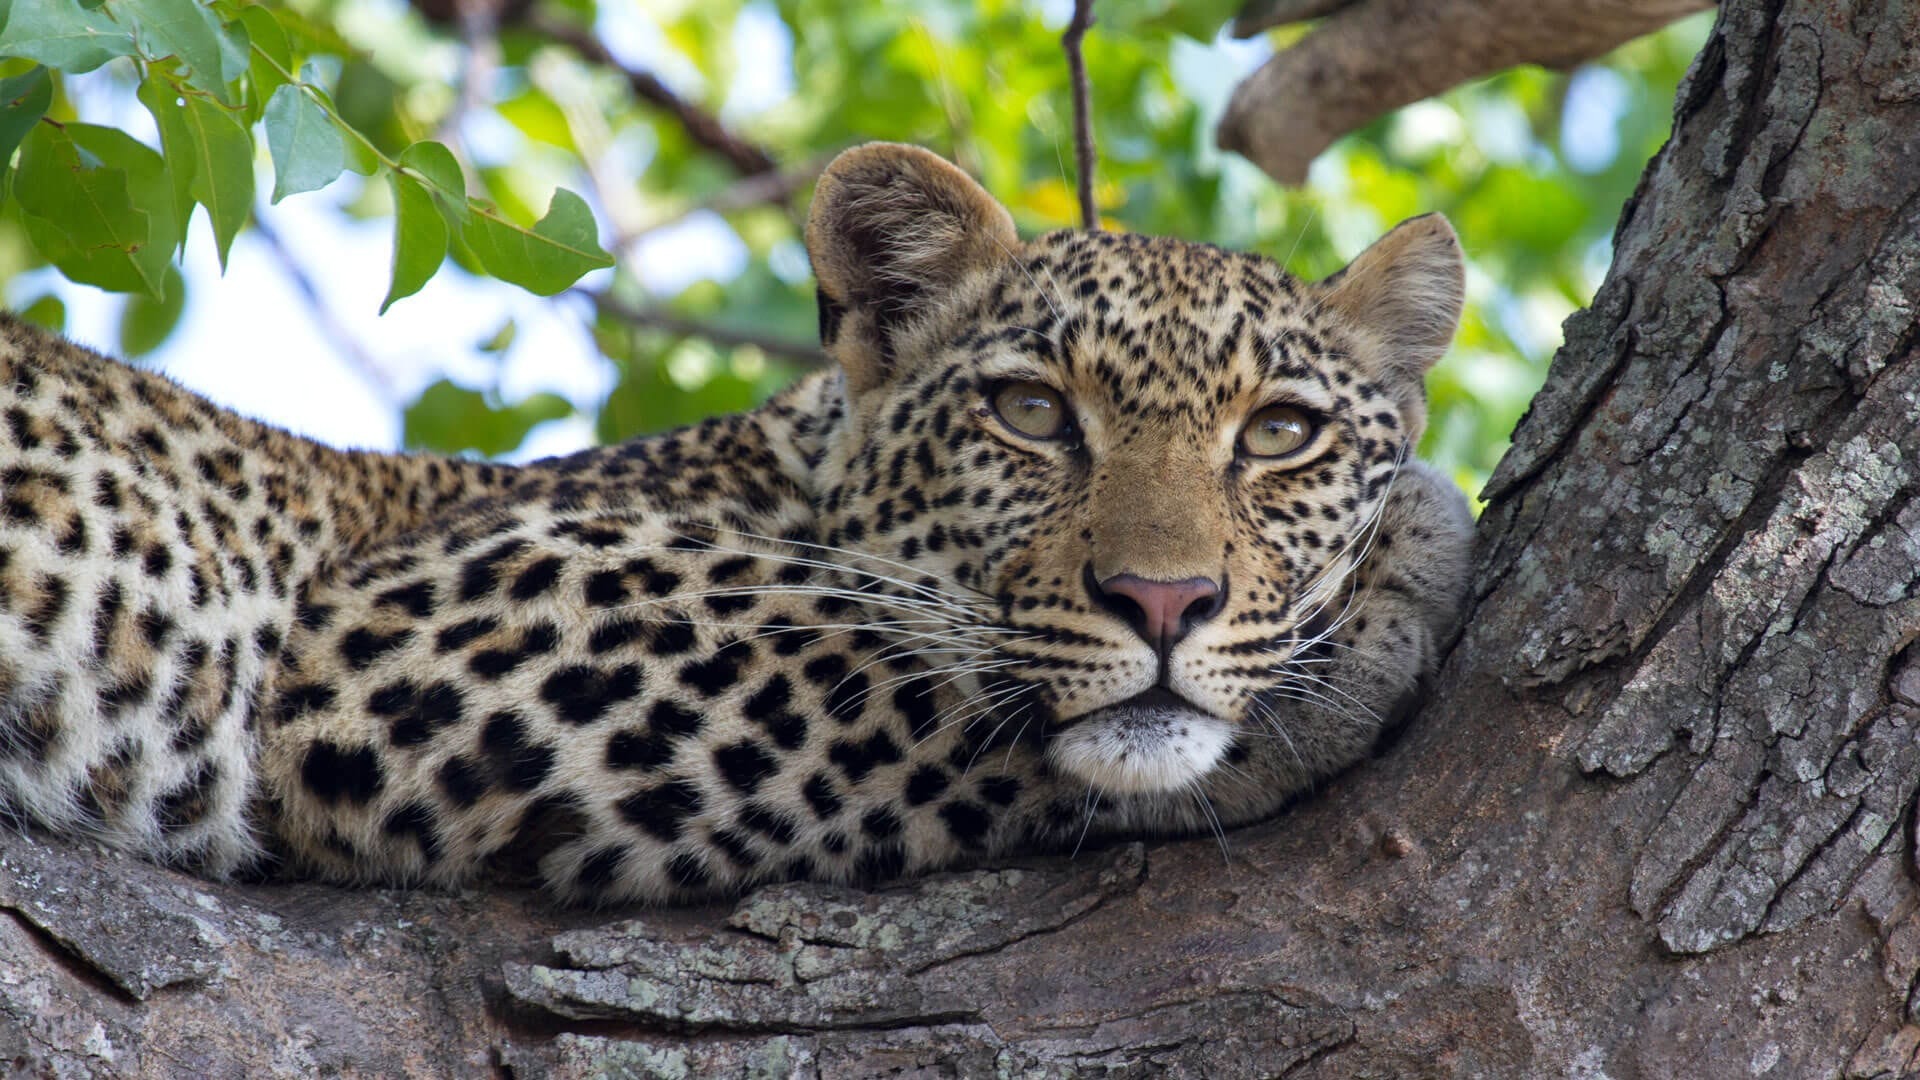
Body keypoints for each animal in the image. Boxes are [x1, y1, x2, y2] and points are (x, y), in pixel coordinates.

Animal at [0, 143, 1473, 905]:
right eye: (1031, 413)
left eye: (1279, 435)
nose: (1165, 604)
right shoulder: (407, 619)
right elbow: (890, 680)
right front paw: (1390, 589)